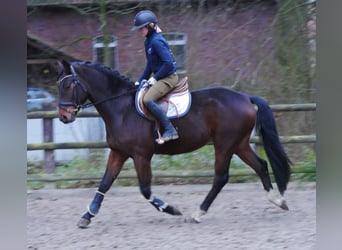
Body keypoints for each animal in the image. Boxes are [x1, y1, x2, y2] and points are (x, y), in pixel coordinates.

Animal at [56, 60, 292, 229]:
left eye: (69, 85)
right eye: (59, 85)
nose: (64, 117)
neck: (121, 109)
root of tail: (245, 97)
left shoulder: (141, 156)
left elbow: (145, 189)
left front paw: (171, 209)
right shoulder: (118, 153)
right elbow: (104, 184)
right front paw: (86, 216)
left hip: (224, 145)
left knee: (221, 177)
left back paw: (197, 213)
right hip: (239, 144)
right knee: (260, 165)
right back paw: (278, 200)